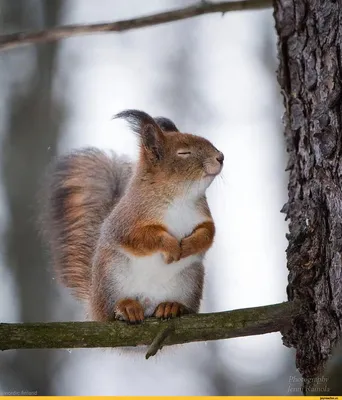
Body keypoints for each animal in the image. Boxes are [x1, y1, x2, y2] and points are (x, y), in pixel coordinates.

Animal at [40, 111, 223, 324]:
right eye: (184, 153)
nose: (220, 157)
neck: (180, 197)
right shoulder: (127, 221)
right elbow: (141, 238)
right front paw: (171, 246)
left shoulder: (202, 216)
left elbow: (208, 233)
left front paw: (189, 246)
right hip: (111, 279)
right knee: (111, 311)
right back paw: (126, 308)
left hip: (190, 282)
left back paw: (172, 306)